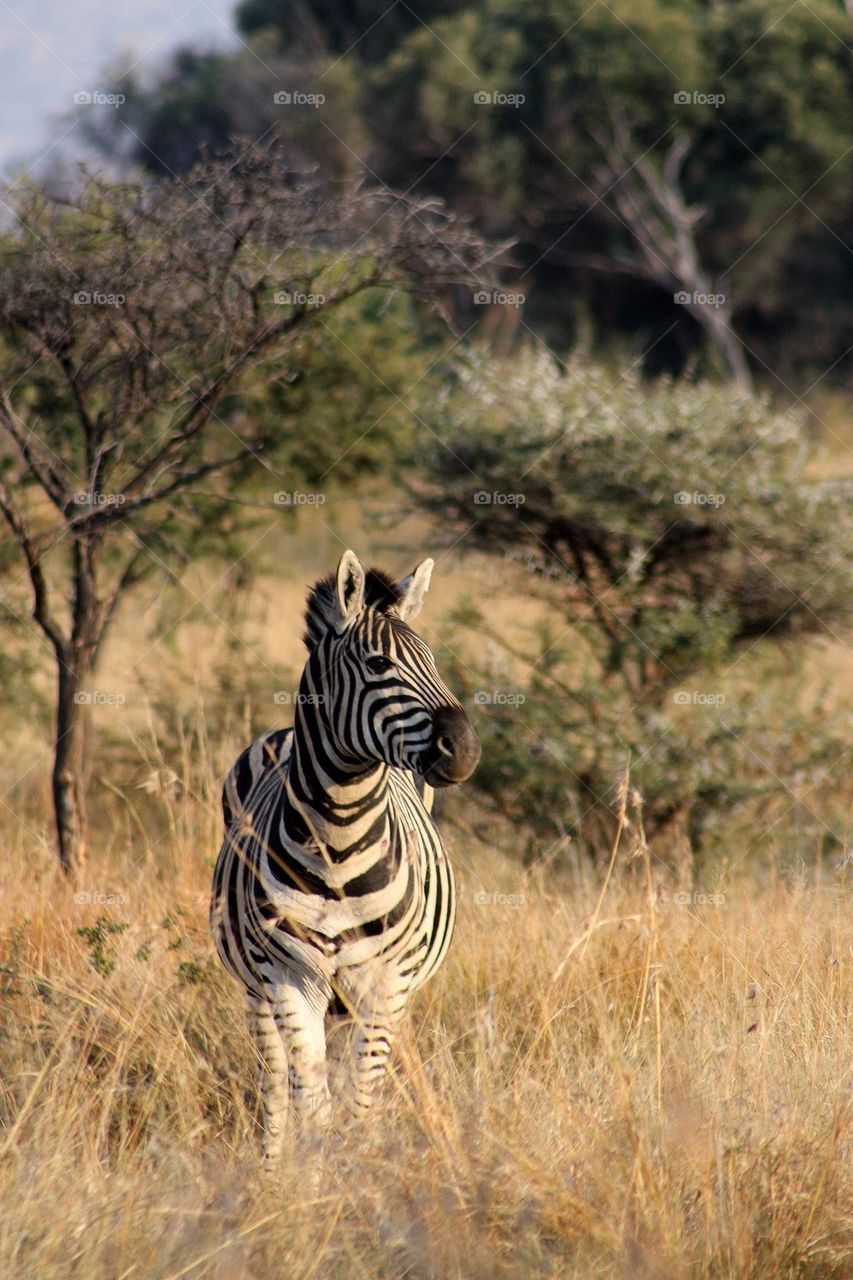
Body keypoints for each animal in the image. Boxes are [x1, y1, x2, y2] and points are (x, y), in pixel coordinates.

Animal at [211, 550, 480, 1165]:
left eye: (434, 660)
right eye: (378, 663)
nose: (466, 749)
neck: (337, 835)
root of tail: (282, 733)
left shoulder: (383, 982)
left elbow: (356, 1111)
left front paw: (355, 1179)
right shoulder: (289, 977)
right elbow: (312, 1107)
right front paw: (312, 1185)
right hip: (258, 987)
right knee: (274, 1085)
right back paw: (268, 1172)